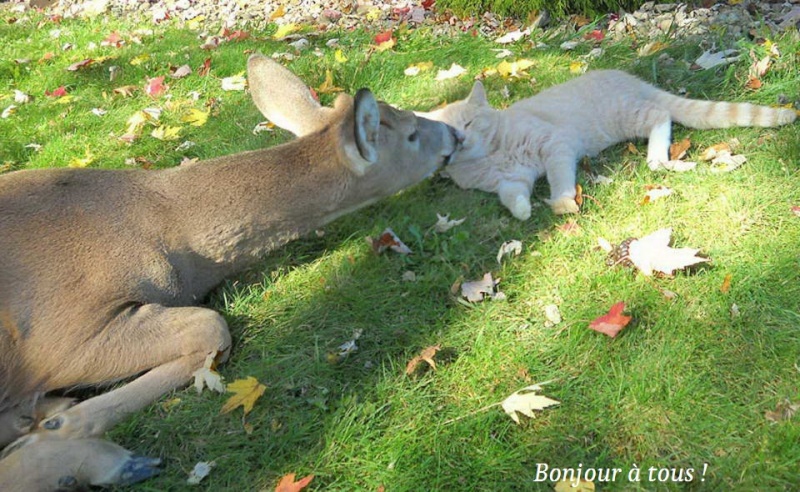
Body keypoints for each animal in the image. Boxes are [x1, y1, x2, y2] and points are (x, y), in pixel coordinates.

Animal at [0, 55, 462, 490]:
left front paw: (53, 419)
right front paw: (63, 425)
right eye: (411, 134)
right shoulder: (61, 336)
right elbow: (213, 326)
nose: (455, 135)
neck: (174, 240)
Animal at [422, 70, 796, 220]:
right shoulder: (512, 181)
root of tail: (628, 77)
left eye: (468, 123)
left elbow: (559, 178)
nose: (461, 138)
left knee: (661, 115)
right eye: (449, 132)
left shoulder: (555, 145)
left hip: (626, 115)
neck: (492, 155)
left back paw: (657, 159)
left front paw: (562, 202)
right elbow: (512, 197)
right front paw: (524, 211)